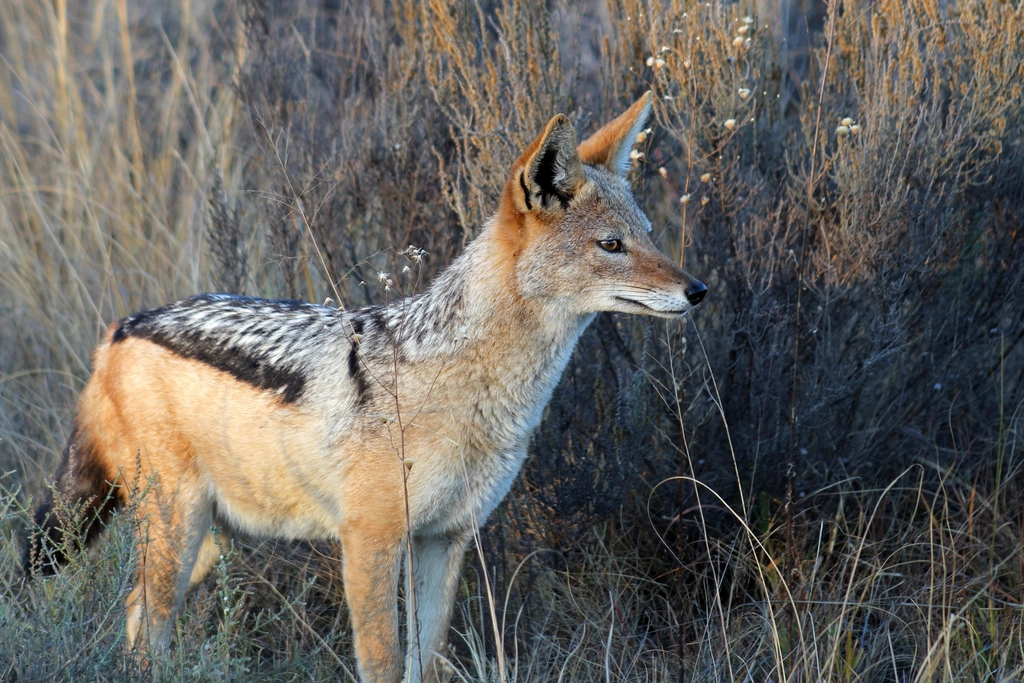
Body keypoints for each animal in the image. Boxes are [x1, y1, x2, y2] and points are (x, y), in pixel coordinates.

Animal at [26, 92, 706, 682]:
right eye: (611, 245)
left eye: (648, 233)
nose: (698, 291)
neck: (477, 394)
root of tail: (121, 328)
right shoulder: (370, 543)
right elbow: (382, 664)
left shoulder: (445, 541)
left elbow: (425, 663)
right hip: (177, 531)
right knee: (147, 628)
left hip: (205, 546)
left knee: (134, 615)